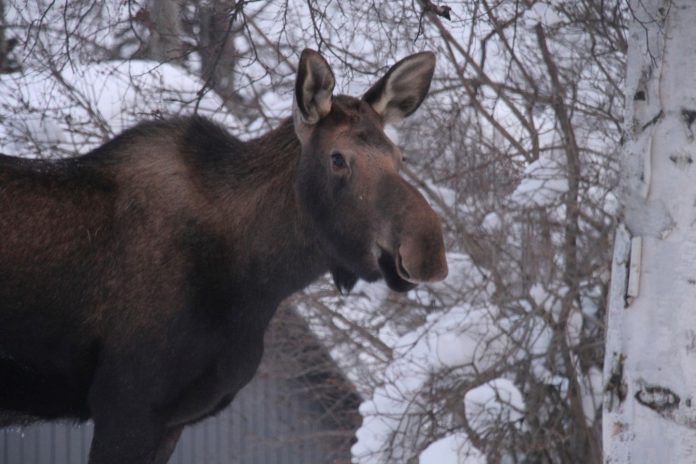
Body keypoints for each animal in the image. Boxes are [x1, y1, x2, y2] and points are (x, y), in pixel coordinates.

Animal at [0, 49, 446, 462]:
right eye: (337, 158)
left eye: (400, 158)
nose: (427, 250)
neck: (260, 281)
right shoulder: (127, 404)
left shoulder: (171, 419)